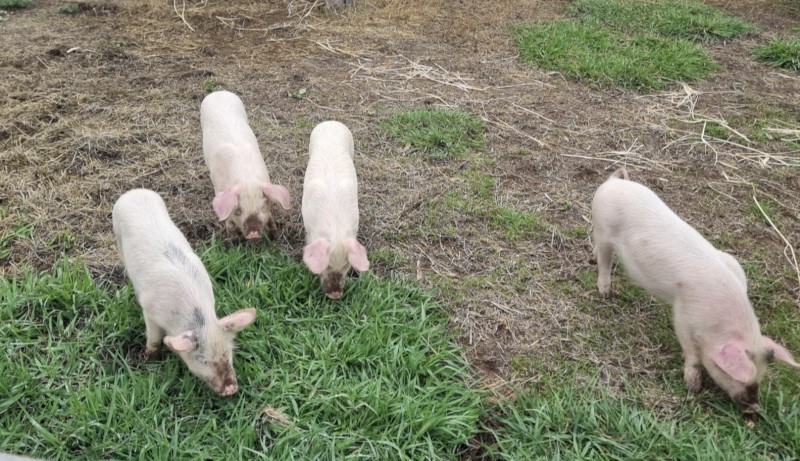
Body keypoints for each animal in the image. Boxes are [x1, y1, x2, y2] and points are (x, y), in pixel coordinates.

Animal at [112, 188, 257, 396]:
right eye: (203, 360)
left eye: (227, 353)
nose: (231, 389)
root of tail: (135, 192)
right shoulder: (150, 312)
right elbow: (154, 338)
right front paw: (151, 358)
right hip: (117, 232)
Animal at [201, 90, 291, 241]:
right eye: (238, 210)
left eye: (263, 207)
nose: (254, 232)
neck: (246, 178)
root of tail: (218, 92)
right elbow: (229, 223)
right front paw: (233, 241)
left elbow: (271, 220)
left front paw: (276, 236)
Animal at [591, 168, 799, 417]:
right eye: (740, 377)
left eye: (761, 374)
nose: (755, 409)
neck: (719, 320)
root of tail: (613, 182)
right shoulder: (684, 311)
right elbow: (690, 349)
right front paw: (693, 386)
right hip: (603, 227)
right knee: (604, 257)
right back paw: (605, 292)